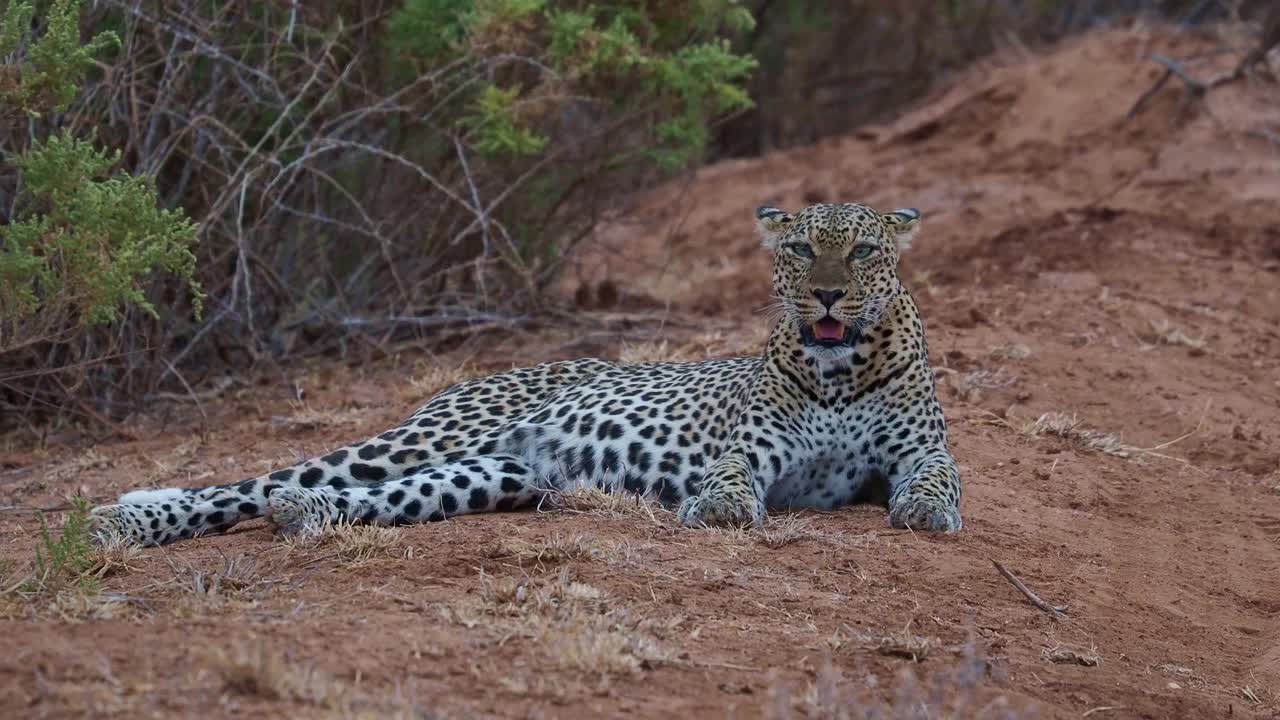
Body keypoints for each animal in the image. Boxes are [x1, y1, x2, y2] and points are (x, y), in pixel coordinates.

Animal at [92, 202, 962, 543]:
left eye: (863, 251)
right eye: (801, 250)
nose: (827, 294)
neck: (839, 372)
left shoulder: (920, 449)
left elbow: (936, 476)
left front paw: (925, 513)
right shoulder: (750, 448)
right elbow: (729, 473)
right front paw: (718, 510)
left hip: (492, 474)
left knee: (335, 497)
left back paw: (304, 518)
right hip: (426, 439)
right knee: (251, 484)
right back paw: (123, 521)